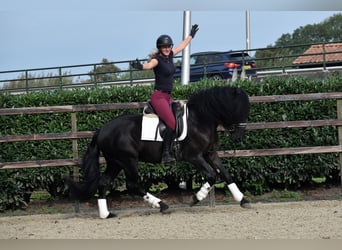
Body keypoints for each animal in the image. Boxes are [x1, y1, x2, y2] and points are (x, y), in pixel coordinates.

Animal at [65, 86, 250, 219]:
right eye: (237, 108)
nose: (239, 136)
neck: (199, 120)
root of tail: (102, 129)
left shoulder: (210, 154)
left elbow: (225, 174)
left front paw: (243, 200)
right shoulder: (194, 157)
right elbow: (212, 175)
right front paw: (195, 198)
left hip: (115, 162)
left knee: (104, 183)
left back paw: (106, 214)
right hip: (128, 160)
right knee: (132, 185)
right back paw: (162, 205)